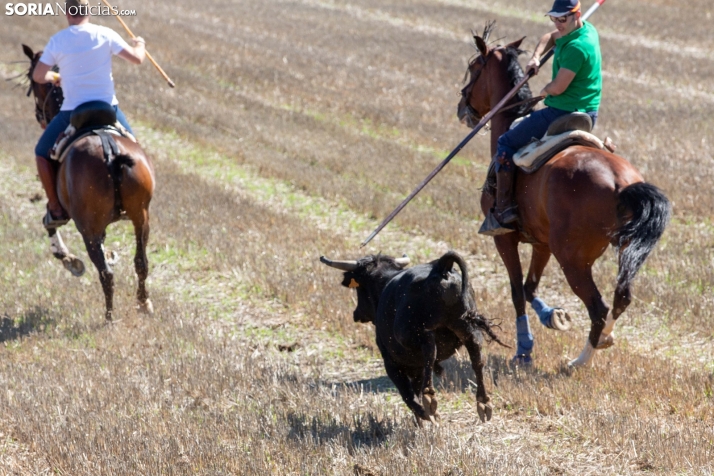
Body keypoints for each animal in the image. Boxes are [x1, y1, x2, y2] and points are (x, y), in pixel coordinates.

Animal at [23, 45, 154, 320]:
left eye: (31, 77)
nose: (39, 115)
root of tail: (111, 151)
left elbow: (49, 224)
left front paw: (69, 259)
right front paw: (111, 254)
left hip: (88, 228)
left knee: (106, 273)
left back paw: (109, 318)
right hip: (141, 218)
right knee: (141, 263)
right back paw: (143, 303)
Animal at [320, 251, 508, 422]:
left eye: (359, 288)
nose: (356, 314)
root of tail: (440, 268)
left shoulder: (391, 362)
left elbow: (407, 393)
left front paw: (422, 413)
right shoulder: (416, 367)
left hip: (415, 334)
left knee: (430, 351)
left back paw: (429, 399)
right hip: (467, 328)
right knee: (476, 356)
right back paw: (483, 403)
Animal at [456, 27, 668, 368]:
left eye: (474, 66)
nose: (462, 105)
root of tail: (621, 184)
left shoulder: (505, 238)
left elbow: (517, 291)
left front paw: (524, 349)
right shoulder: (541, 242)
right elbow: (530, 287)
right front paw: (552, 317)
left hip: (572, 257)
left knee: (598, 306)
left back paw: (578, 362)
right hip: (621, 248)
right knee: (621, 296)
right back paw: (605, 338)